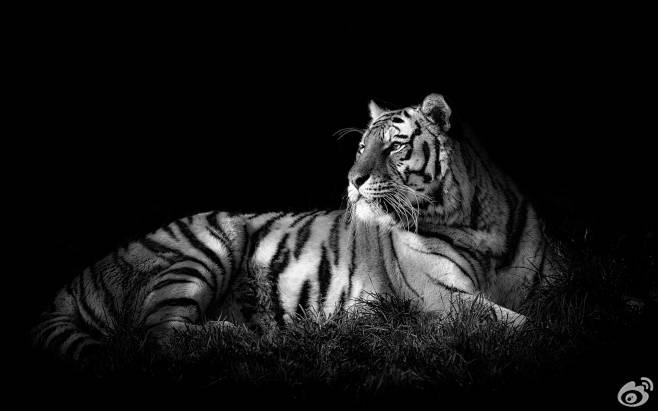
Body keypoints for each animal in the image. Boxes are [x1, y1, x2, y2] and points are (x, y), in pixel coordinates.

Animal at [31, 93, 556, 361]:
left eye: (393, 146)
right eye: (360, 147)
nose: (352, 180)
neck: (477, 224)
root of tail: (78, 279)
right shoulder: (442, 296)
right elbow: (516, 325)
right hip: (204, 246)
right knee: (156, 335)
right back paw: (246, 340)